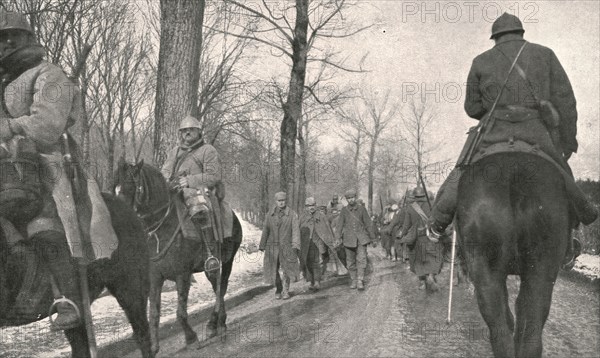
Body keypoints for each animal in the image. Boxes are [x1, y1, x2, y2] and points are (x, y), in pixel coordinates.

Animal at [115, 160, 241, 356]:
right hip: (210, 269)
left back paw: (216, 325)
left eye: (130, 185)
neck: (161, 228)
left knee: (221, 290)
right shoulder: (155, 278)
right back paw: (216, 325)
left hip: (227, 261)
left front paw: (191, 339)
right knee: (217, 287)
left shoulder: (182, 274)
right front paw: (153, 347)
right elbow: (154, 314)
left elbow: (180, 312)